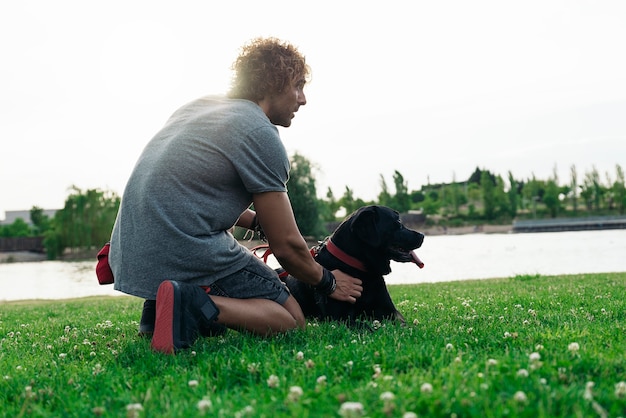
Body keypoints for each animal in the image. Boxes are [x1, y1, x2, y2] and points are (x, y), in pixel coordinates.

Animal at [282, 206, 424, 326]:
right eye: (398, 223)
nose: (422, 235)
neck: (361, 270)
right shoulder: (340, 317)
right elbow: (366, 327)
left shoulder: (389, 310)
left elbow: (404, 325)